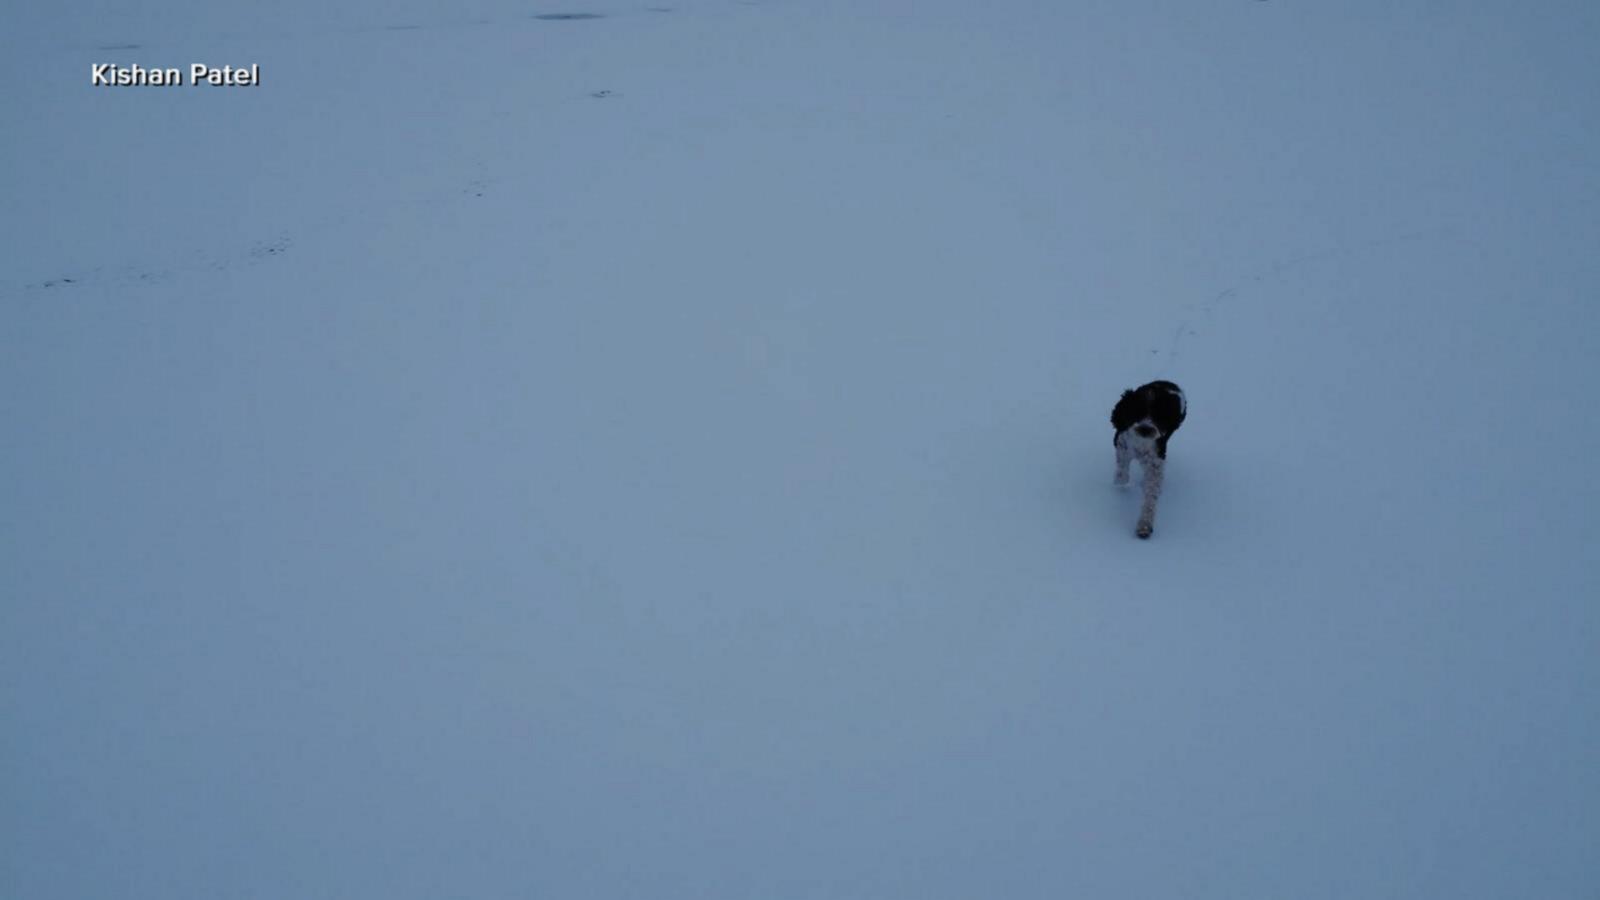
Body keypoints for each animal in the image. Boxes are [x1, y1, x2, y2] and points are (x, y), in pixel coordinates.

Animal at [1113, 379, 1190, 538]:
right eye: (1136, 410)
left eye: (1159, 414)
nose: (1146, 428)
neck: (1141, 444)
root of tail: (1167, 382)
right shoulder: (1122, 443)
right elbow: (1122, 471)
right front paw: (1119, 482)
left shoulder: (1156, 462)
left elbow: (1151, 495)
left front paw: (1144, 526)